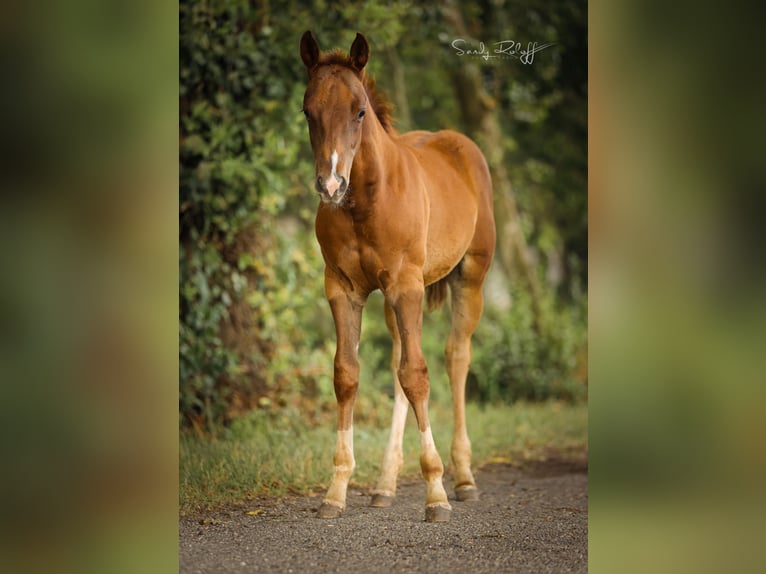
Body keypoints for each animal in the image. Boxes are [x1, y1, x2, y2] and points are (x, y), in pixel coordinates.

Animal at [299, 31, 496, 523]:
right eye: (307, 111)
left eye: (359, 110)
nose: (331, 185)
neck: (365, 201)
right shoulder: (343, 289)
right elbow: (348, 375)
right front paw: (335, 491)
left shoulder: (406, 286)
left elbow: (418, 375)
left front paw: (436, 493)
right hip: (398, 297)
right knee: (396, 364)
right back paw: (385, 485)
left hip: (470, 277)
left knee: (455, 357)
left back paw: (464, 478)